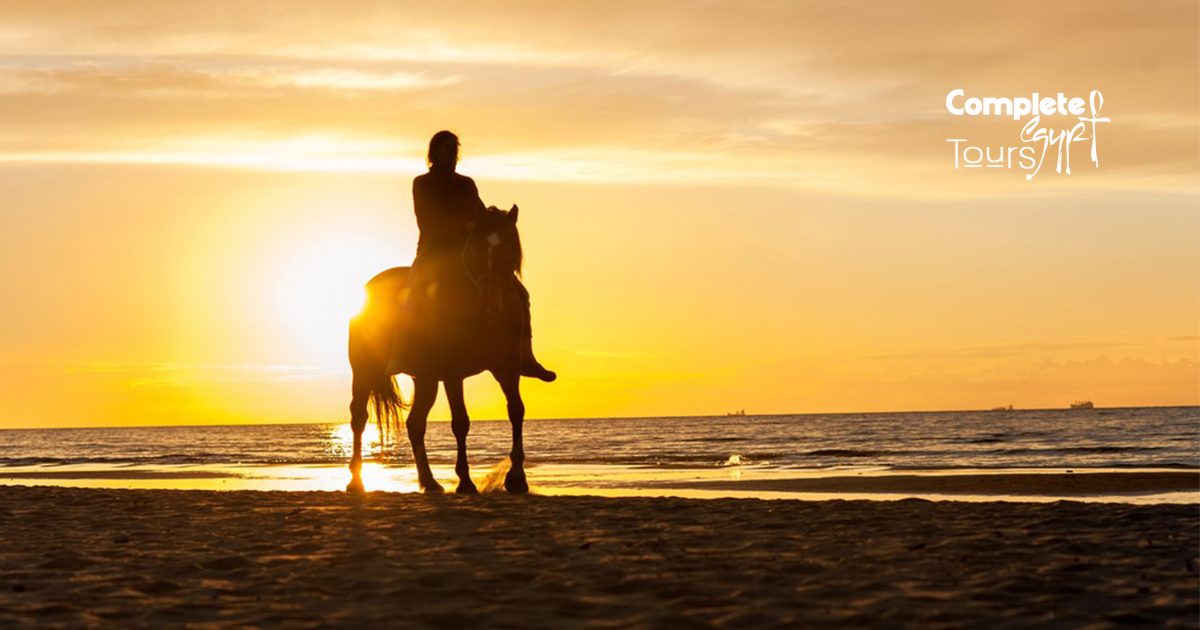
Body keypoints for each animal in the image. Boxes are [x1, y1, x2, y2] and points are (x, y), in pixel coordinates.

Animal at [350, 204, 532, 494]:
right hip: (364, 370)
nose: (489, 307)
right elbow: (461, 422)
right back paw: (355, 481)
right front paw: (465, 481)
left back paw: (429, 481)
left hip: (425, 378)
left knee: (415, 424)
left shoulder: (508, 367)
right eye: (477, 250)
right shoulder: (452, 373)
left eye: (511, 251)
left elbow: (516, 410)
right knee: (358, 416)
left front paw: (516, 477)